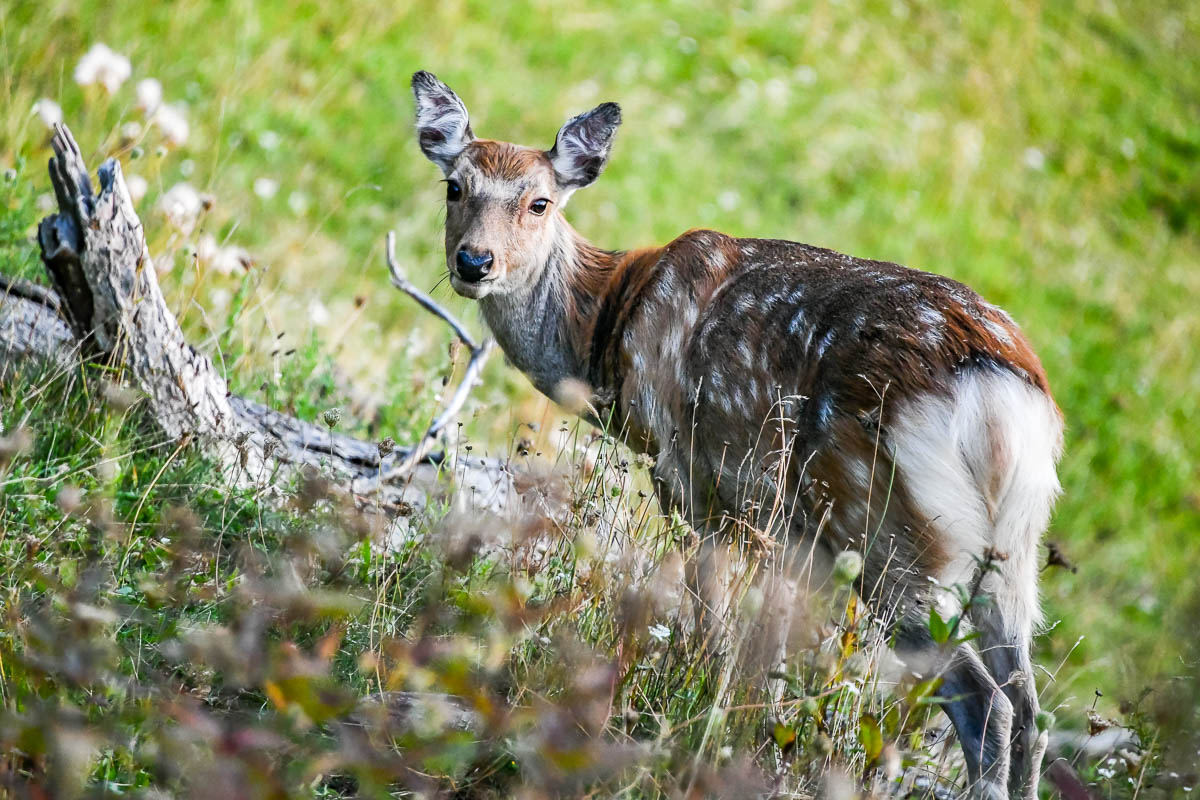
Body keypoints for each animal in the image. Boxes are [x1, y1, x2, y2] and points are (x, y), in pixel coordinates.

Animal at [410, 70, 1063, 800]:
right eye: (454, 186)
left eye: (539, 202)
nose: (474, 261)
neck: (610, 335)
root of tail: (997, 397)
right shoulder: (786, 532)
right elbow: (768, 648)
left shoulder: (688, 475)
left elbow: (712, 624)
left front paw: (693, 714)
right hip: (1013, 549)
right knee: (1031, 707)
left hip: (890, 529)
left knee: (985, 703)